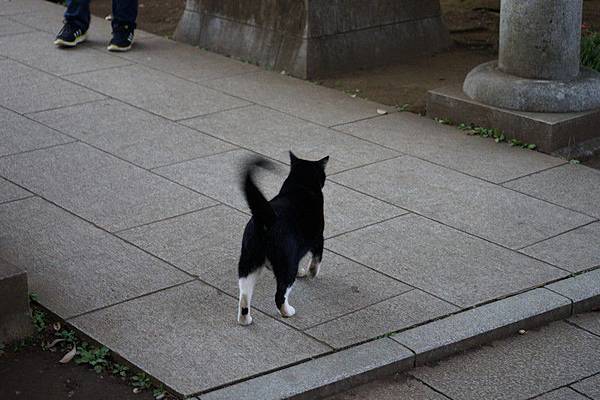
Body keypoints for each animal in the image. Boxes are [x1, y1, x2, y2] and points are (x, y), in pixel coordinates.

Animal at [237, 152, 328, 324]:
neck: (300, 185)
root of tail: (268, 217)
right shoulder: (318, 237)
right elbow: (317, 257)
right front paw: (311, 272)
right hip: (286, 264)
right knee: (280, 294)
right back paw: (288, 311)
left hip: (248, 260)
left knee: (244, 294)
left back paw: (245, 320)